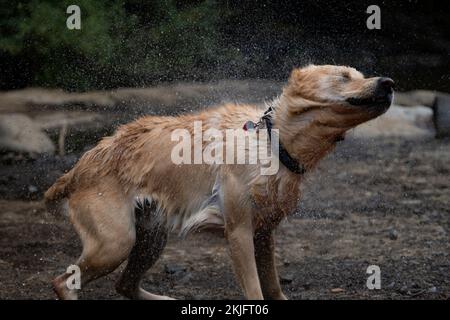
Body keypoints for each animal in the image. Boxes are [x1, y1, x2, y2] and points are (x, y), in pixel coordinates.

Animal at [44, 65, 392, 300]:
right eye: (344, 76)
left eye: (359, 74)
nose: (388, 82)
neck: (272, 142)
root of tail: (77, 168)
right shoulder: (238, 231)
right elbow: (255, 289)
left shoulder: (264, 233)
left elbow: (274, 286)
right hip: (116, 242)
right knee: (64, 282)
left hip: (150, 234)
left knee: (124, 284)